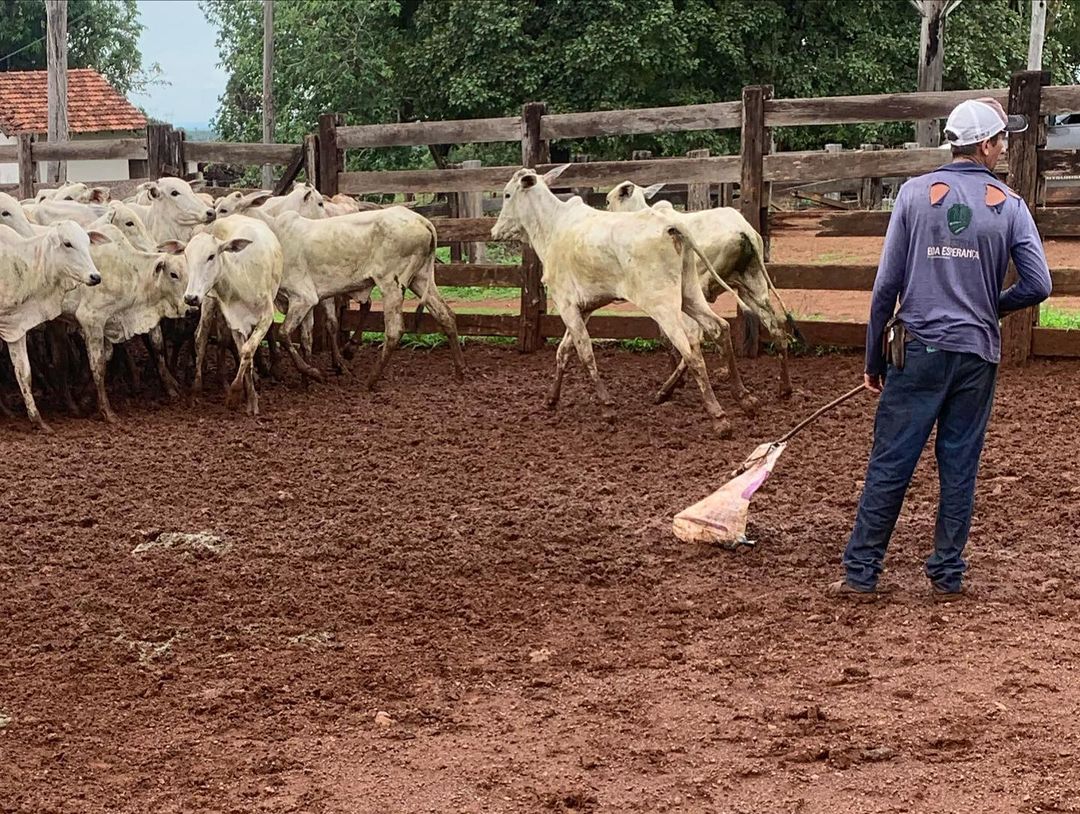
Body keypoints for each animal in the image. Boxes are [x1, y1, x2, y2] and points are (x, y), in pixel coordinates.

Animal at [0, 219, 109, 427]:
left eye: (87, 242)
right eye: (67, 243)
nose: (95, 276)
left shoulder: (15, 326)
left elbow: (24, 373)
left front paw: (38, 421)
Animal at [158, 213, 280, 412]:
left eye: (211, 256)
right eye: (186, 256)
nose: (190, 297)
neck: (243, 278)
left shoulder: (266, 317)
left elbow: (247, 351)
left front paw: (246, 397)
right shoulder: (236, 322)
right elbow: (243, 351)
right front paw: (238, 394)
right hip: (209, 299)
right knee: (201, 337)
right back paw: (196, 390)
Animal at [494, 163, 738, 431]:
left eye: (507, 195)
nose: (494, 231)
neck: (553, 226)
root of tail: (672, 227)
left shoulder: (566, 305)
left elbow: (584, 352)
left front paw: (607, 406)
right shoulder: (584, 308)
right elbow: (564, 350)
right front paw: (551, 399)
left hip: (663, 306)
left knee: (691, 351)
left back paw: (718, 417)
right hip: (690, 293)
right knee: (720, 328)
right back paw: (745, 398)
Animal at [609, 182, 794, 401]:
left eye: (608, 201)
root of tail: (743, 230)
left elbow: (667, 337)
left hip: (701, 288)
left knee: (700, 336)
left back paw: (666, 390)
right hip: (752, 287)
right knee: (777, 328)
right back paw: (784, 388)